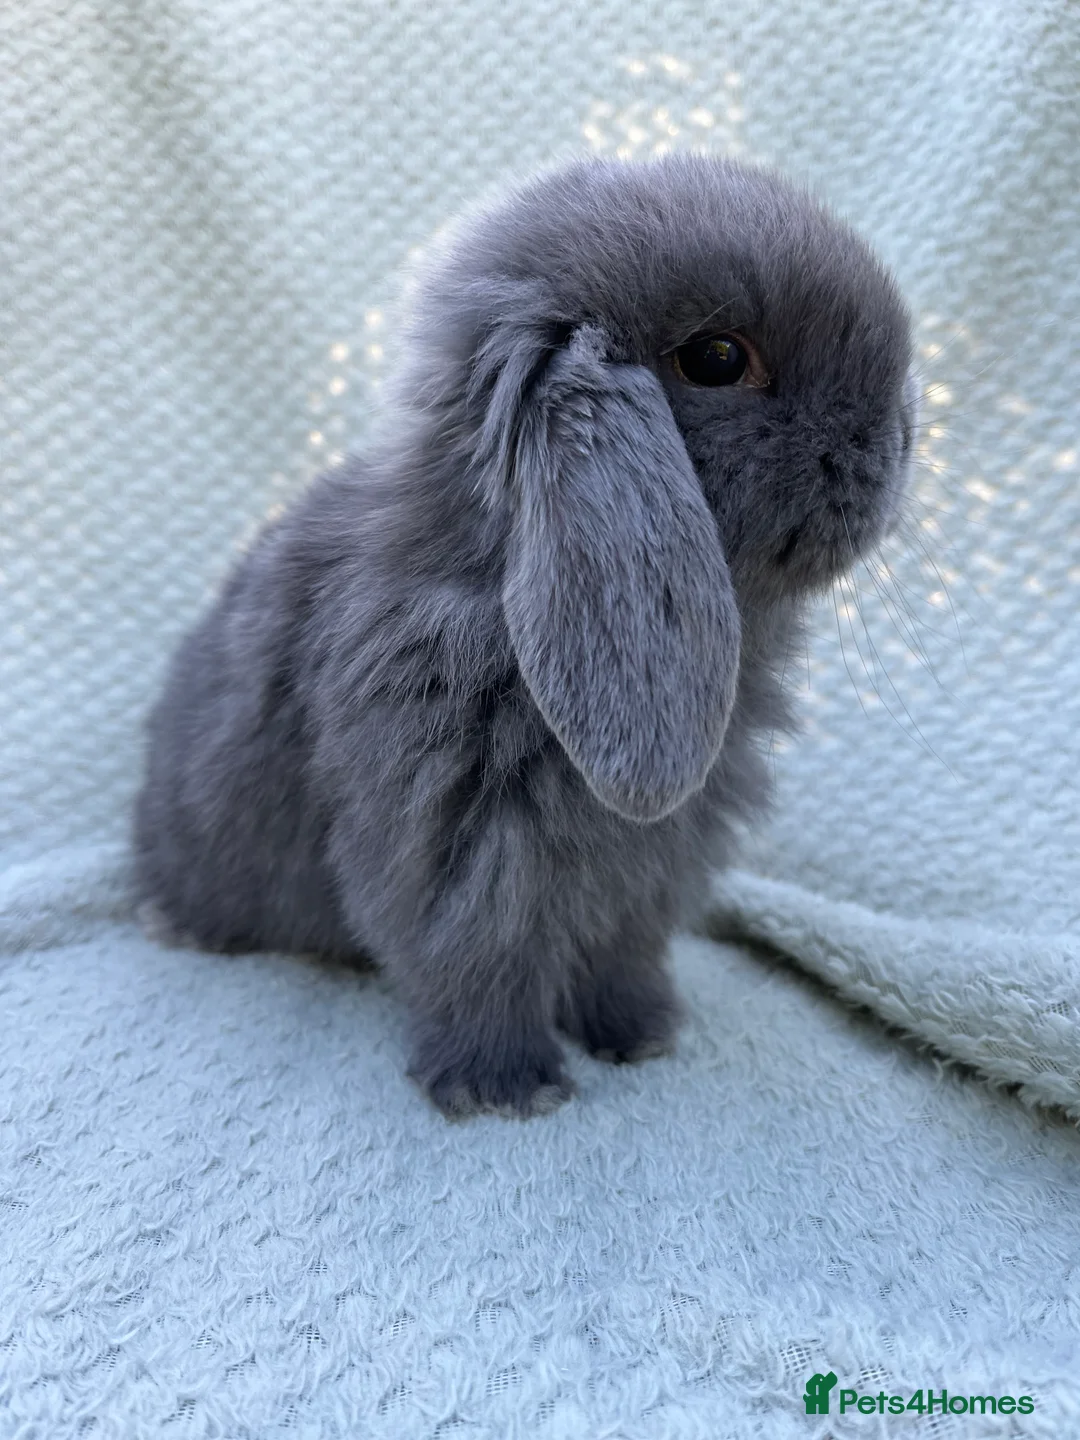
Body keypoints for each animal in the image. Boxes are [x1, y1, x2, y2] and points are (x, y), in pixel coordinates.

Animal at [134, 153, 916, 1118]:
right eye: (717, 358)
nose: (900, 439)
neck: (493, 575)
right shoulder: (456, 851)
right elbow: (475, 970)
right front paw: (506, 1091)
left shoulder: (648, 873)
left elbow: (619, 959)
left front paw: (644, 1037)